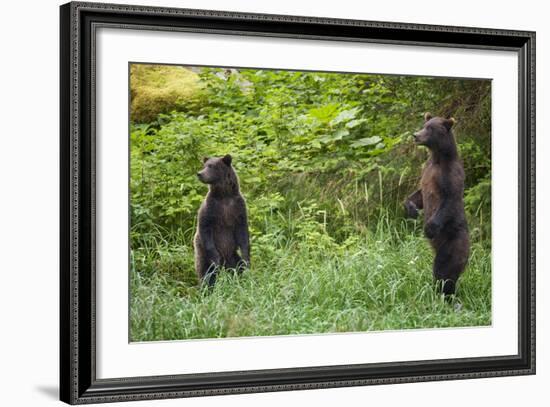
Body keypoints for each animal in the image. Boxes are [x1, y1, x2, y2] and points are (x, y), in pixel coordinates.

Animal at [195, 155, 251, 288]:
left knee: (238, 267)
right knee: (206, 273)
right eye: (205, 165)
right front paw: (216, 259)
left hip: (232, 256)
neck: (224, 195)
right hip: (202, 254)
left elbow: (243, 233)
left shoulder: (238, 208)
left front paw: (247, 258)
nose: (199, 174)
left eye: (211, 166)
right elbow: (204, 227)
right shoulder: (211, 208)